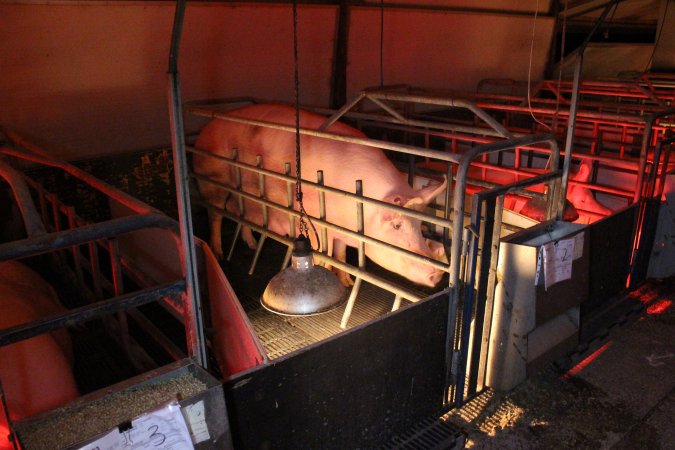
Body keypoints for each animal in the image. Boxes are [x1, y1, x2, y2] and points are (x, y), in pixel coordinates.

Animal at [194, 104, 448, 288]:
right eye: (397, 225)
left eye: (420, 225)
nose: (437, 275)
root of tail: (205, 129)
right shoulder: (314, 223)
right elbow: (323, 256)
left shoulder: (342, 230)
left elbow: (341, 255)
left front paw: (348, 283)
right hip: (212, 181)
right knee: (215, 215)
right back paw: (218, 253)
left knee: (241, 214)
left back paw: (252, 243)